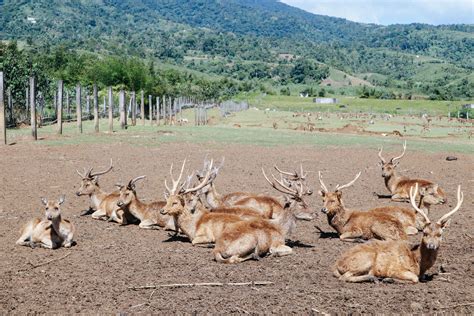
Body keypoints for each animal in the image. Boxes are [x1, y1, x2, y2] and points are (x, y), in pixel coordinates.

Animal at [336, 183, 464, 284]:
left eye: (440, 234)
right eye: (425, 233)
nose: (431, 245)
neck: (420, 264)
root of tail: (336, 265)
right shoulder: (395, 269)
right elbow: (414, 278)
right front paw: (388, 279)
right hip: (366, 259)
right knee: (344, 277)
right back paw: (373, 277)